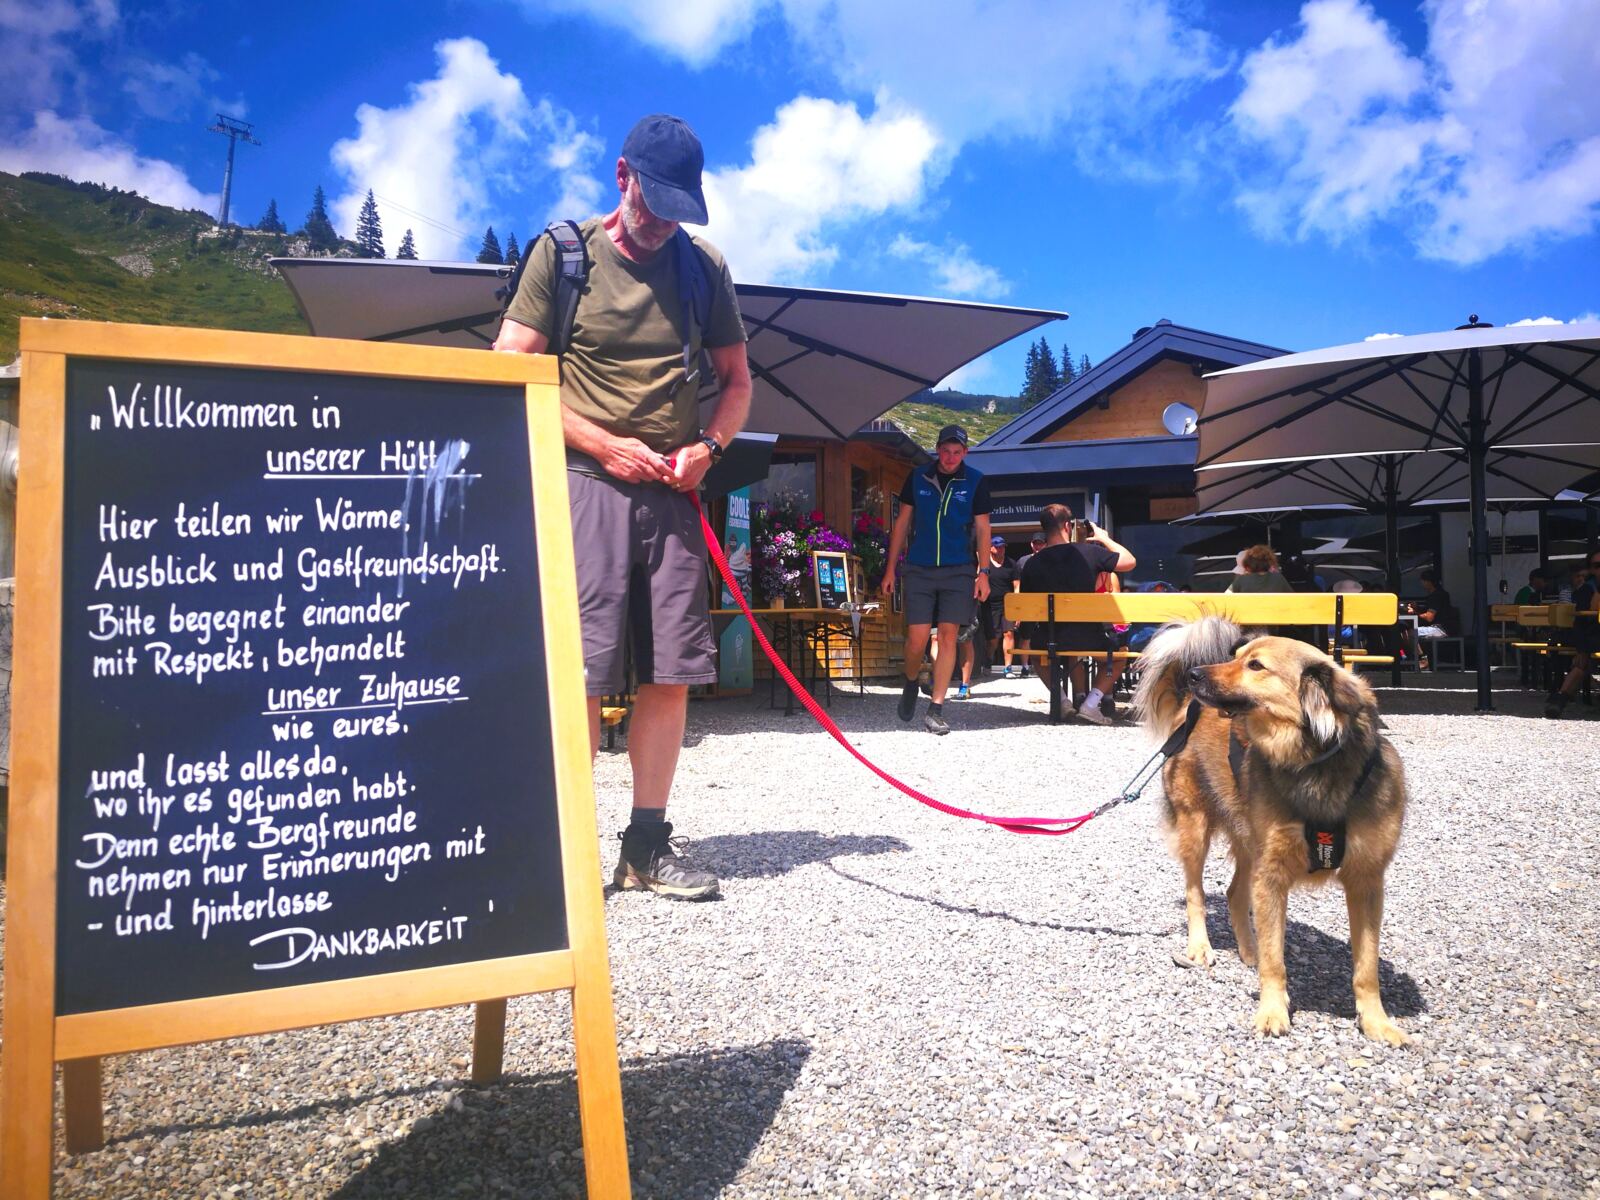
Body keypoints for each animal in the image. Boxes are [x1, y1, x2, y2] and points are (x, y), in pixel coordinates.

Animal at [1132, 617, 1409, 1045]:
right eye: (1237, 656)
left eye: (1255, 666)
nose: (1196, 675)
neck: (1313, 762)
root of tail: (1187, 706)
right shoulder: (1272, 875)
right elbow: (1275, 961)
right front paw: (1272, 1012)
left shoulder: (1366, 879)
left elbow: (1366, 965)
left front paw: (1376, 1021)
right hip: (1196, 826)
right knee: (1196, 892)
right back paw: (1200, 947)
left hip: (1251, 840)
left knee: (1234, 894)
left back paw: (1249, 951)